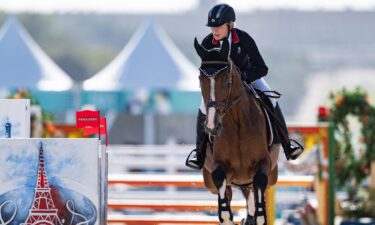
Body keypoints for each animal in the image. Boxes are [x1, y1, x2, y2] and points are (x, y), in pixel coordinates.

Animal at [195, 37, 280, 224]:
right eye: (200, 78)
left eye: (226, 78)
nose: (211, 126)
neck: (237, 121)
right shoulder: (218, 167)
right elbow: (225, 212)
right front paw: (229, 217)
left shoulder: (263, 165)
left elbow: (260, 214)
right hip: (211, 182)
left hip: (270, 176)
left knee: (253, 195)